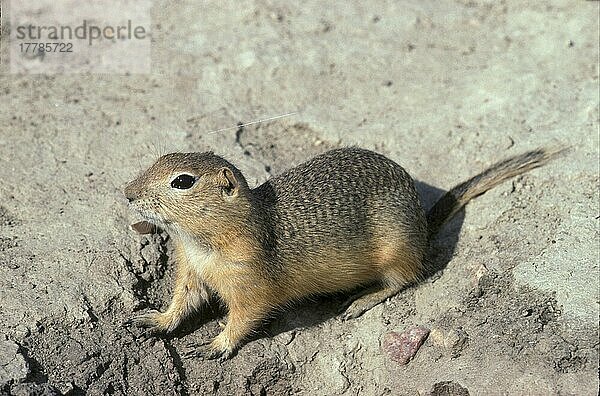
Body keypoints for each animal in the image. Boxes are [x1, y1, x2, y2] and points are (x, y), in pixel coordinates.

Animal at [124, 145, 560, 358]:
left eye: (183, 181)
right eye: (160, 159)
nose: (127, 192)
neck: (202, 242)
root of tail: (422, 224)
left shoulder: (250, 287)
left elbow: (244, 319)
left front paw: (216, 345)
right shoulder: (190, 272)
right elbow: (181, 303)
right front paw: (154, 321)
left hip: (396, 250)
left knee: (405, 278)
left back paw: (360, 300)